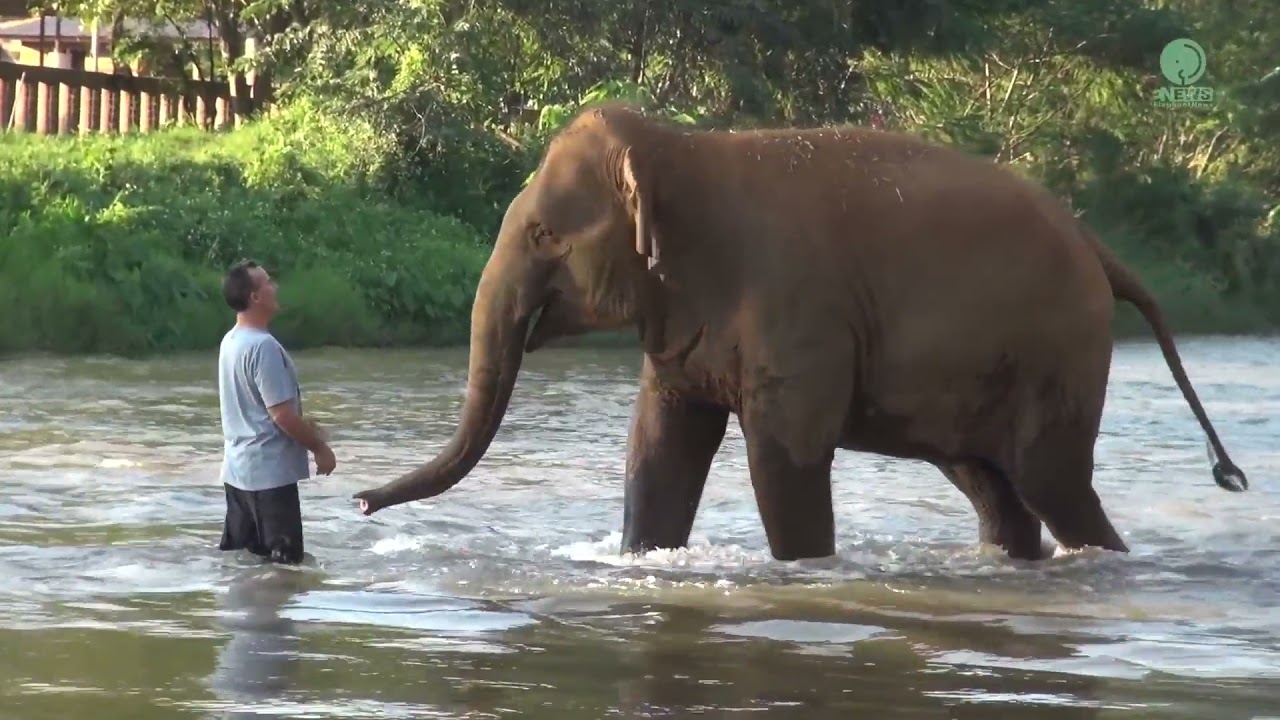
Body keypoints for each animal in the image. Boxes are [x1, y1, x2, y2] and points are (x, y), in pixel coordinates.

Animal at [351, 101, 1248, 563]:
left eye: (543, 236)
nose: (357, 499)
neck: (681, 148)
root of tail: (1100, 247)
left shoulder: (797, 312)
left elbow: (782, 460)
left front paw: (804, 576)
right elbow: (659, 448)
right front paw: (644, 562)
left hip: (1059, 352)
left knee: (1051, 484)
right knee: (995, 489)